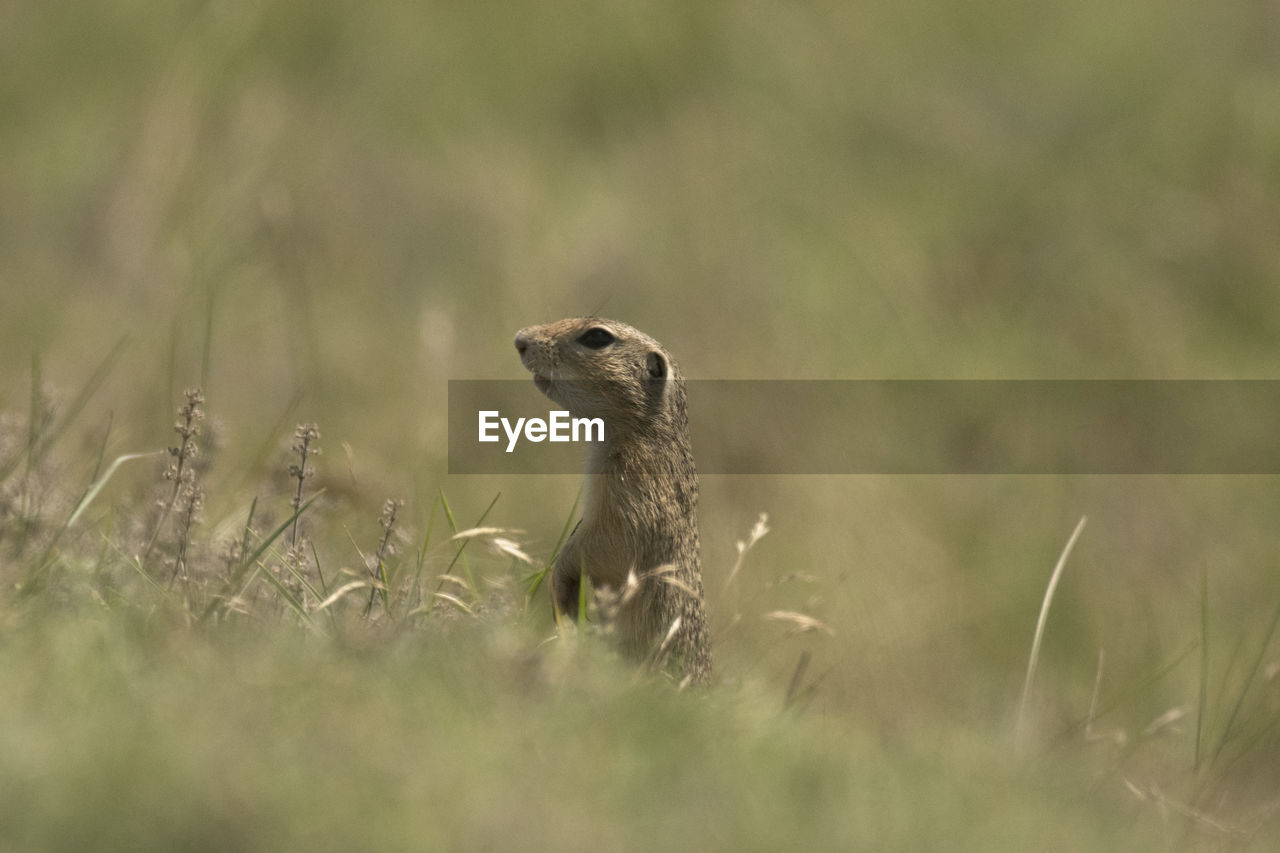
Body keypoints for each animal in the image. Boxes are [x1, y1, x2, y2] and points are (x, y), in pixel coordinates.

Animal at [509, 315, 711, 681]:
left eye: (597, 338)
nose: (520, 340)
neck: (641, 431)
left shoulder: (631, 499)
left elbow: (602, 546)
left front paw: (562, 583)